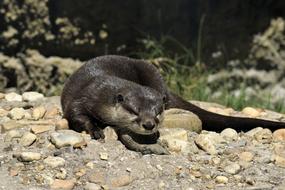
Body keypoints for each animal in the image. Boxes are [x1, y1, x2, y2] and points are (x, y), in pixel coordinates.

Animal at [61, 55, 284, 154]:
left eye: (157, 113)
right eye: (135, 111)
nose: (149, 125)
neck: (105, 92)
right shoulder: (86, 95)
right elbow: (76, 114)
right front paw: (95, 130)